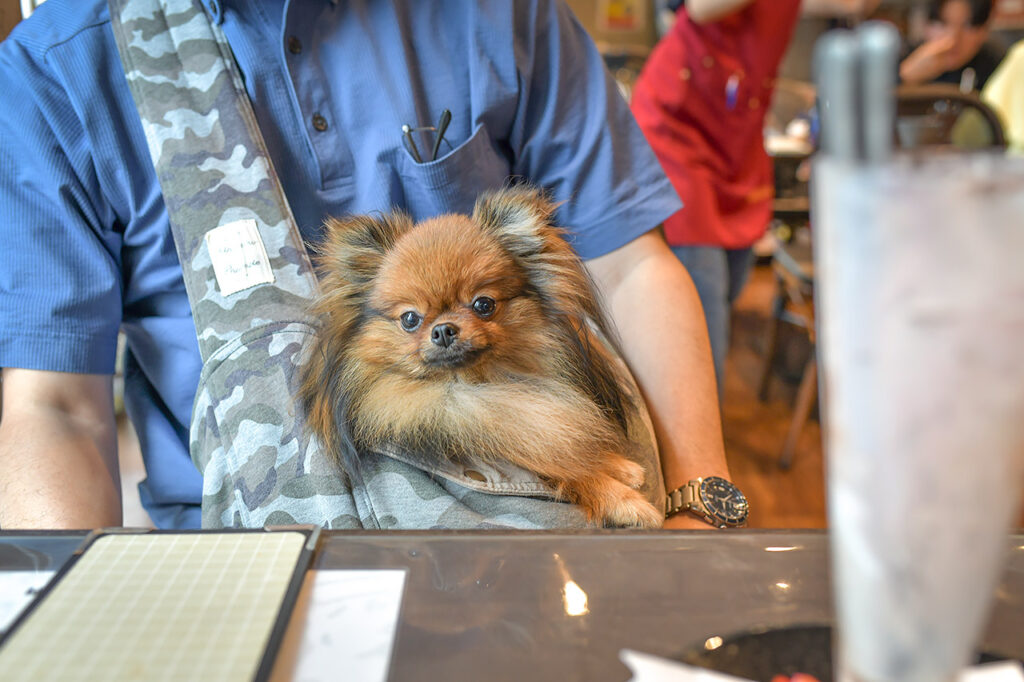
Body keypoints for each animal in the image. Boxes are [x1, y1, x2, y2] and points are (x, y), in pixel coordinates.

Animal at [299, 186, 659, 524]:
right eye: (410, 319)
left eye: (483, 304)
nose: (443, 330)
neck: (475, 388)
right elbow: (568, 468)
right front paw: (625, 501)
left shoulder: (540, 416)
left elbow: (566, 439)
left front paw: (617, 464)